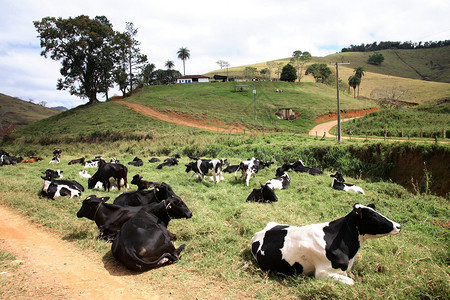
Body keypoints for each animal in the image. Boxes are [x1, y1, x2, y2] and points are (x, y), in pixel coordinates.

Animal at [251, 203, 402, 284]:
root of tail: (259, 233)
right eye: (372, 215)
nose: (398, 226)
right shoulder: (322, 273)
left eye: (376, 211)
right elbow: (351, 282)